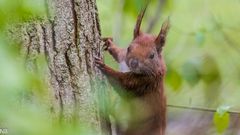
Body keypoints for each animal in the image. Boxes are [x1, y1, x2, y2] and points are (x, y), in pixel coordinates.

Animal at [94, 5, 170, 135]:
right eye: (129, 48)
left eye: (152, 55)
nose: (133, 63)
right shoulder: (123, 58)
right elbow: (119, 53)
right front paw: (109, 43)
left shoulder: (144, 82)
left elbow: (122, 83)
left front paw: (104, 67)